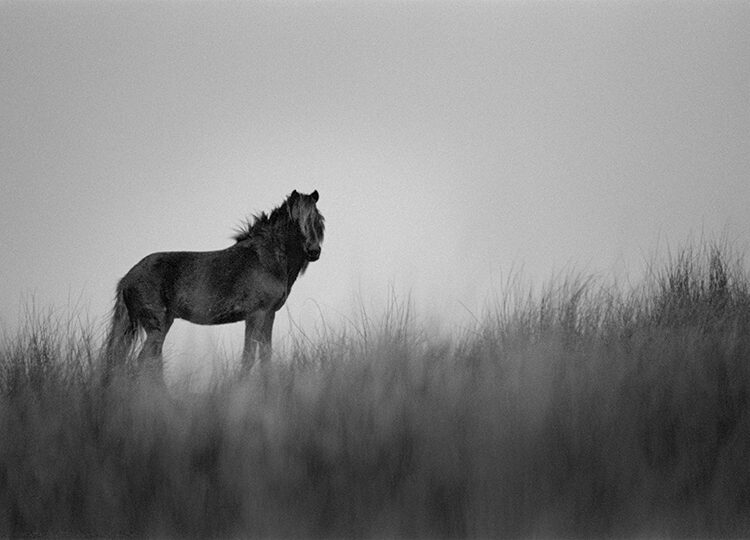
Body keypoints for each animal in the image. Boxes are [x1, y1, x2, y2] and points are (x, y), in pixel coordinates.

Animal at [101, 188, 324, 382]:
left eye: (317, 221)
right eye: (296, 222)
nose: (314, 251)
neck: (266, 259)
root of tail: (127, 278)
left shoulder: (269, 315)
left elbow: (265, 357)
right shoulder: (255, 315)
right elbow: (248, 357)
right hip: (157, 326)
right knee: (145, 361)